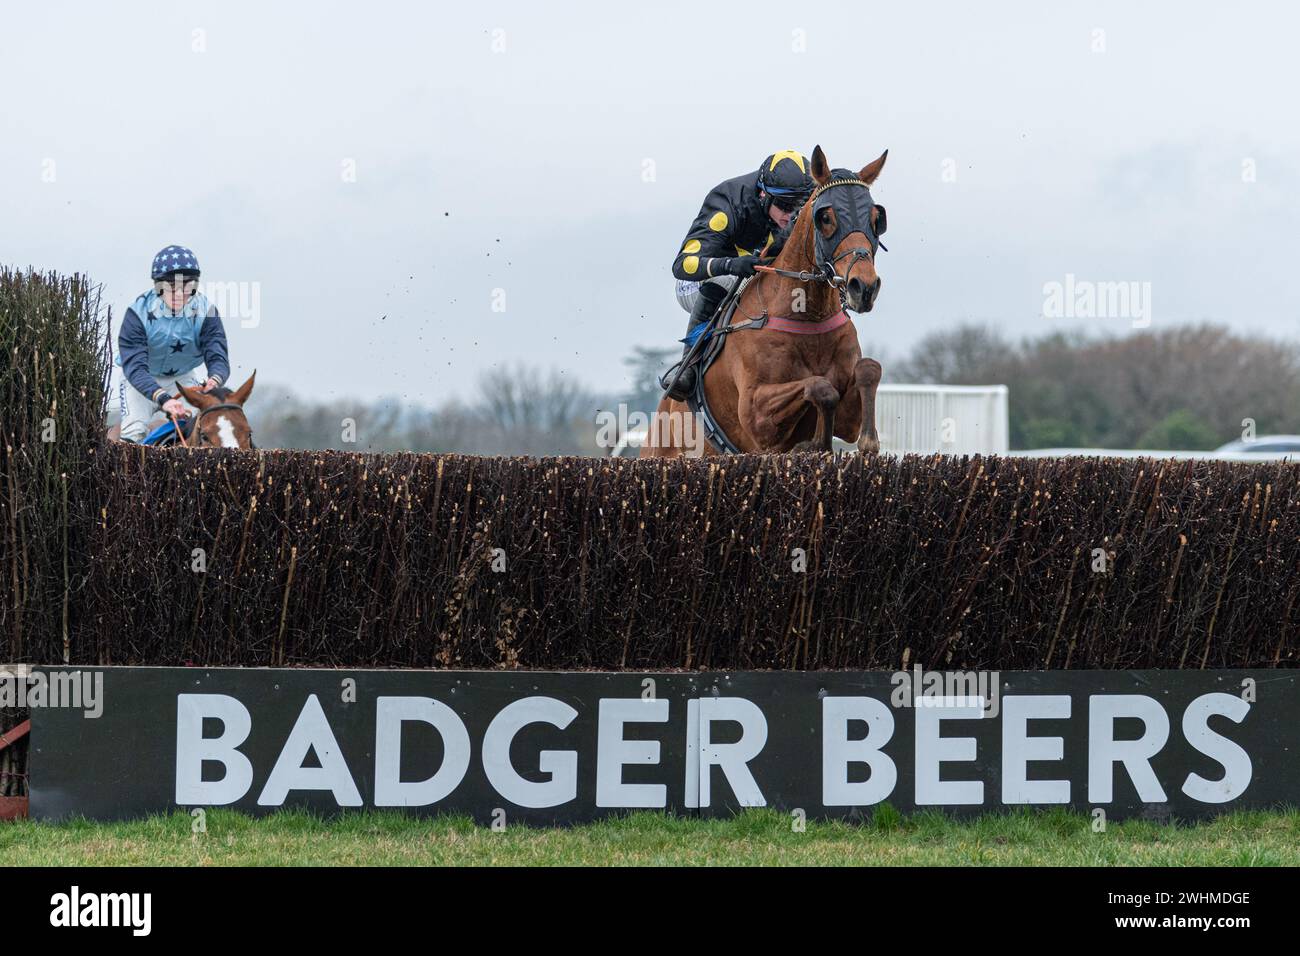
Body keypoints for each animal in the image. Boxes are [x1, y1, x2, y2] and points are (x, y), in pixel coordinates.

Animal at [644, 146, 889, 460]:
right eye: (825, 217)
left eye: (875, 218)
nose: (865, 287)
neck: (807, 315)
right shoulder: (756, 414)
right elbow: (820, 387)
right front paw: (815, 444)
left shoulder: (848, 419)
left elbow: (869, 369)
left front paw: (867, 442)